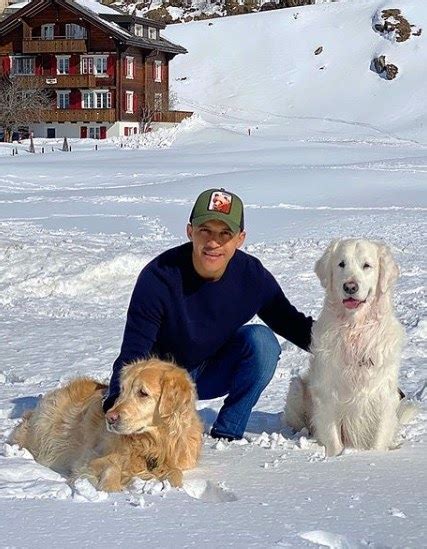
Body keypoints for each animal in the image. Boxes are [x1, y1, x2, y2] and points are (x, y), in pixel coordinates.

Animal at [10, 358, 203, 491]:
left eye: (143, 393)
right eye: (122, 390)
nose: (110, 417)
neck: (151, 443)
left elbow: (176, 474)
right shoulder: (90, 457)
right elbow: (112, 468)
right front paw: (110, 490)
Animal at [283, 239, 416, 456]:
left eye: (367, 265)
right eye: (341, 264)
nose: (350, 287)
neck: (354, 329)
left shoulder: (383, 394)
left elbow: (379, 437)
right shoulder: (327, 394)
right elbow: (332, 437)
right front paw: (336, 457)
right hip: (296, 389)